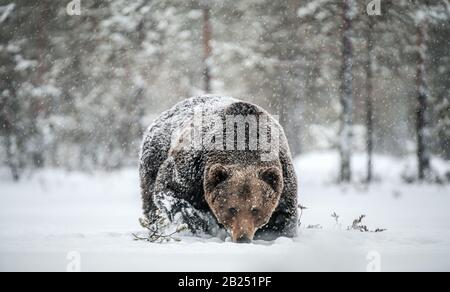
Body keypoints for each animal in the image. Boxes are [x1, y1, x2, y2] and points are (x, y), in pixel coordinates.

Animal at [139, 96, 298, 242]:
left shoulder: (283, 178)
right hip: (153, 159)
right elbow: (170, 190)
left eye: (255, 209)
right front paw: (198, 222)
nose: (243, 238)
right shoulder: (192, 167)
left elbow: (284, 218)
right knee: (151, 203)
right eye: (232, 208)